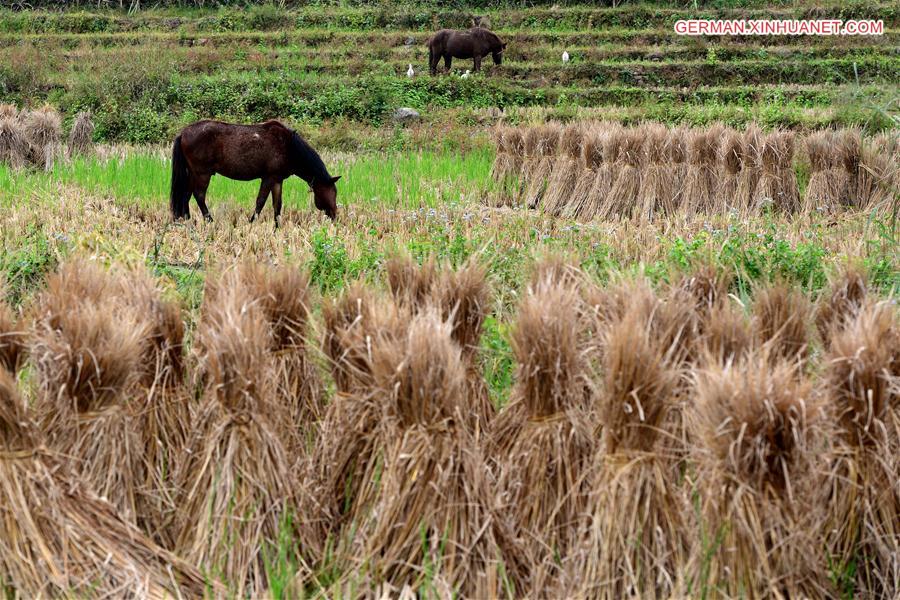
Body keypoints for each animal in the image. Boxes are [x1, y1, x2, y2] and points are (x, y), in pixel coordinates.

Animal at [170, 119, 342, 227]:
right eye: (332, 192)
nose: (335, 216)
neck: (289, 147)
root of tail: (183, 133)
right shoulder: (268, 178)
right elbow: (260, 202)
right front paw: (251, 223)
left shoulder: (277, 180)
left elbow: (277, 205)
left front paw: (277, 227)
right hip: (202, 174)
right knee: (199, 196)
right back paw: (210, 221)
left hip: (193, 173)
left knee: (186, 195)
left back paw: (186, 220)